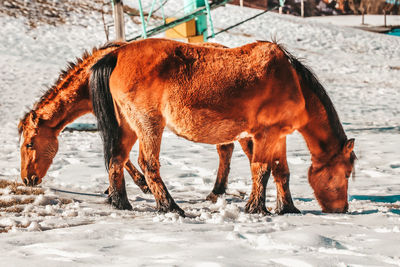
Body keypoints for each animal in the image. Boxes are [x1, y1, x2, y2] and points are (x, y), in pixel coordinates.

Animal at [90, 38, 356, 218]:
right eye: (346, 173)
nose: (342, 209)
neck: (293, 81)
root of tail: (117, 54)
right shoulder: (265, 134)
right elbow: (262, 169)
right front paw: (256, 208)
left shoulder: (278, 136)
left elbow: (281, 171)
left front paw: (287, 208)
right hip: (148, 125)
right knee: (148, 164)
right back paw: (170, 207)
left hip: (128, 126)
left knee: (117, 159)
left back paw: (121, 203)